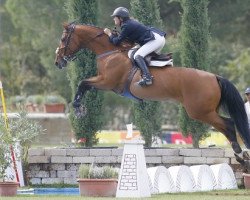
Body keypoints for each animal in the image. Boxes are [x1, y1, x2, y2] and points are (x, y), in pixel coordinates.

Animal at [54, 22, 250, 169]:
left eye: (64, 38)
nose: (58, 62)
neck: (110, 52)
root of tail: (215, 77)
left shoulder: (106, 82)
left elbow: (83, 83)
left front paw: (79, 109)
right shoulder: (103, 81)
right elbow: (84, 84)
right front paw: (79, 108)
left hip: (200, 111)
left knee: (228, 125)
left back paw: (240, 155)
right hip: (204, 111)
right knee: (227, 126)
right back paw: (240, 156)